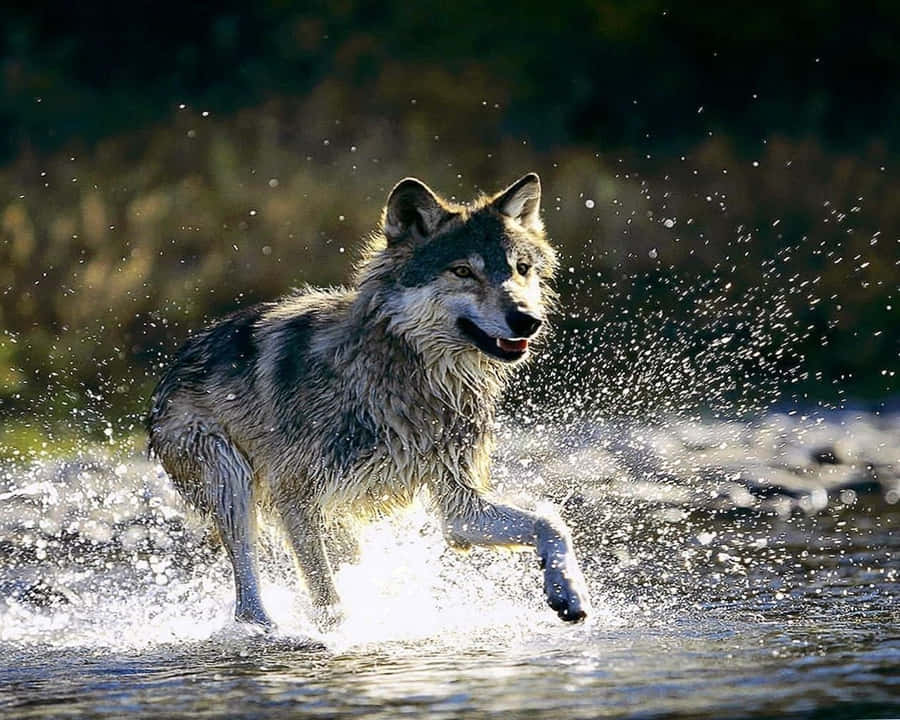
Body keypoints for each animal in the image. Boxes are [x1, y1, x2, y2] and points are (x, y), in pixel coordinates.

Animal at [147, 173, 591, 628]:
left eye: (522, 270)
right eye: (463, 271)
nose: (527, 319)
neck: (405, 379)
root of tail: (171, 370)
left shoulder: (459, 509)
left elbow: (552, 523)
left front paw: (568, 592)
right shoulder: (297, 498)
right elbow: (327, 598)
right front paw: (337, 634)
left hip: (336, 522)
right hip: (233, 481)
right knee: (247, 600)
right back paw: (266, 629)